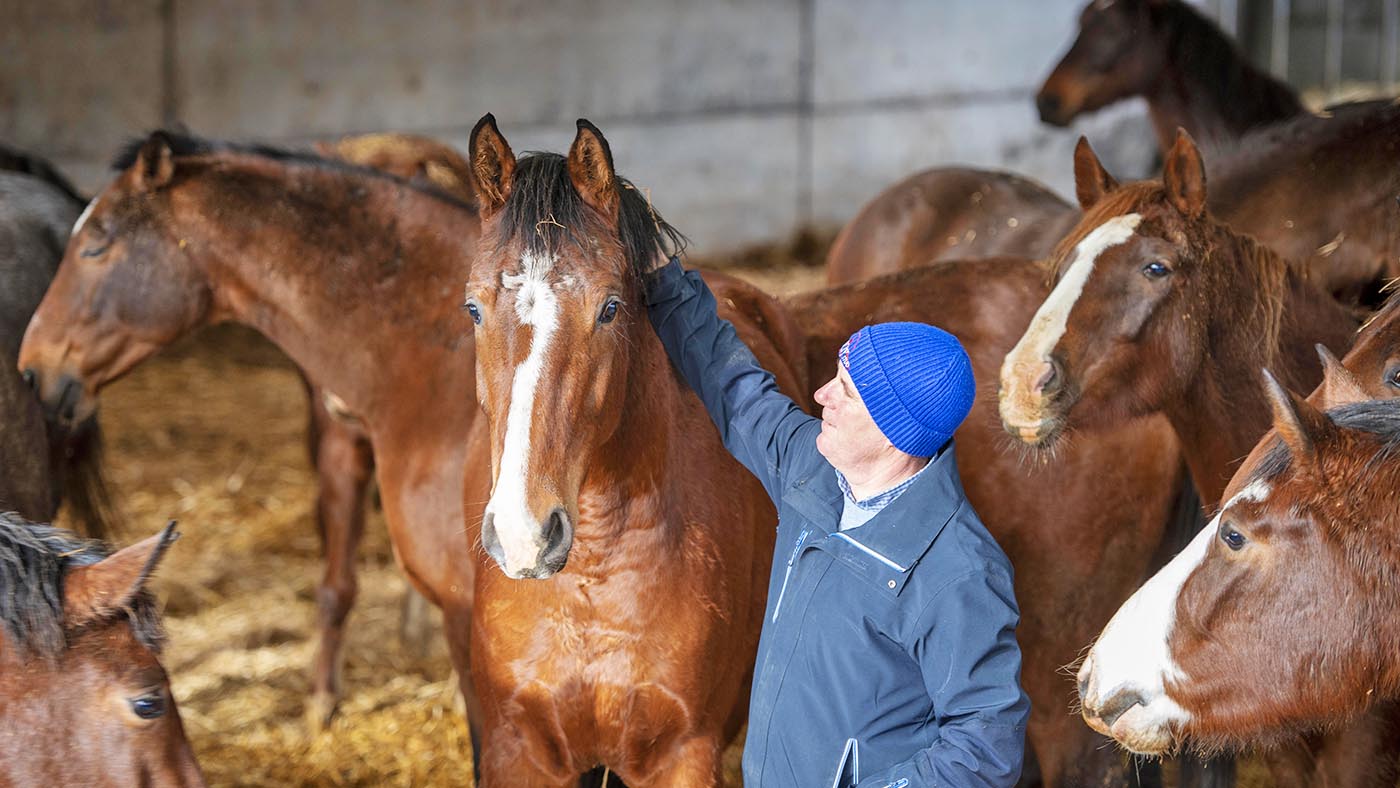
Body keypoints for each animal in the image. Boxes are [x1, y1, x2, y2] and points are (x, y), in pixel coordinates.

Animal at [459, 115, 805, 787]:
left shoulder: (683, 756)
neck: (592, 583)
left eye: (609, 308)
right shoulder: (519, 751)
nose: (524, 535)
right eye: (473, 309)